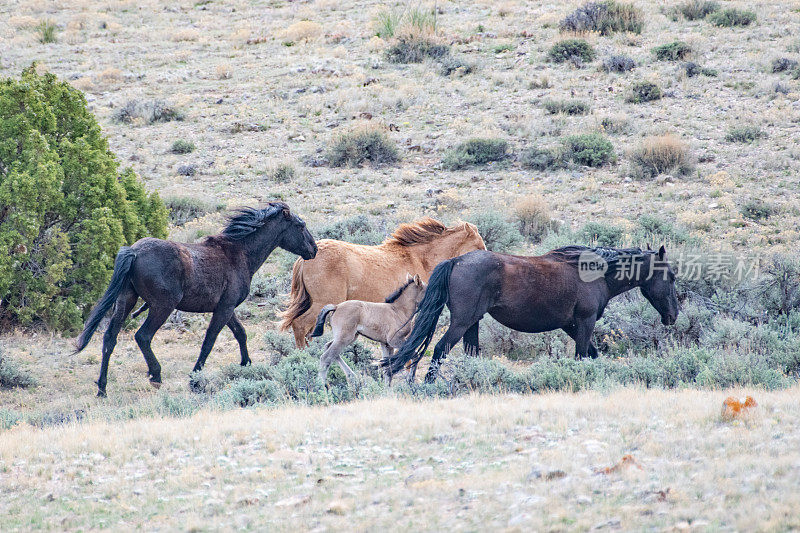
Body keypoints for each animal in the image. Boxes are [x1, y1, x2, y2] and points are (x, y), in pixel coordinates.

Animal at [75, 202, 318, 396]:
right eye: (300, 226)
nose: (314, 250)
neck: (238, 253)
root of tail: (133, 252)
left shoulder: (226, 308)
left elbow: (240, 333)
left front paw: (246, 365)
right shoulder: (224, 309)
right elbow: (209, 341)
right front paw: (195, 380)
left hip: (126, 301)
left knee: (109, 338)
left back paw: (102, 388)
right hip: (162, 306)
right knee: (142, 336)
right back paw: (155, 376)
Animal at [380, 245, 676, 382]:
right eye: (672, 276)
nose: (673, 315)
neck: (596, 274)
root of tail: (456, 261)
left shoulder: (571, 325)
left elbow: (591, 354)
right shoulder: (584, 321)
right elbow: (582, 355)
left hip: (472, 324)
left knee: (469, 354)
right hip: (461, 323)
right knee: (440, 350)